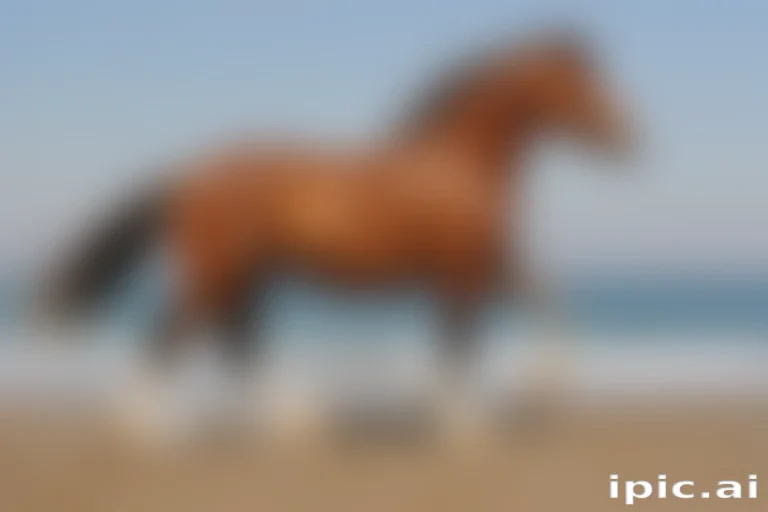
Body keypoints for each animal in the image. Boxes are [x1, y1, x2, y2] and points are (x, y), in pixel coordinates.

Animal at [45, 32, 634, 435]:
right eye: (578, 83)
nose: (632, 138)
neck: (456, 169)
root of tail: (191, 174)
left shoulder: (485, 263)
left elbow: (540, 298)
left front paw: (544, 385)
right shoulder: (462, 271)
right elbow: (462, 340)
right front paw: (471, 427)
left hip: (246, 273)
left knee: (239, 337)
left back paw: (296, 421)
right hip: (218, 271)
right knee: (175, 334)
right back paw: (150, 431)